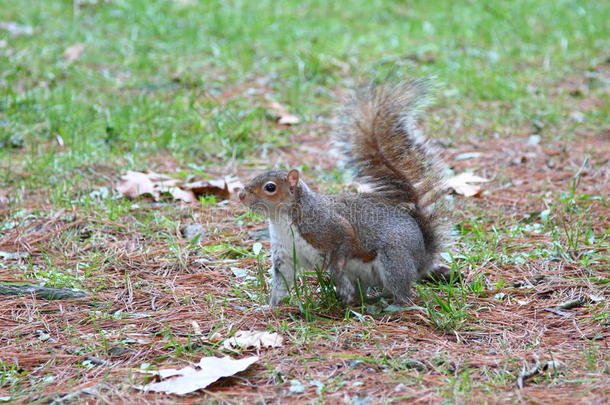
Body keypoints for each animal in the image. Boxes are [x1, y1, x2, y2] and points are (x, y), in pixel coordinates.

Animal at [240, 79, 448, 306]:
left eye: (270, 187)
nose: (241, 196)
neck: (282, 219)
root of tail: (422, 258)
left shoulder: (327, 225)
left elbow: (344, 243)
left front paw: (336, 269)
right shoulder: (284, 254)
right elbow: (281, 282)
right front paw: (269, 307)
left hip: (395, 258)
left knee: (401, 291)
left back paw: (391, 304)